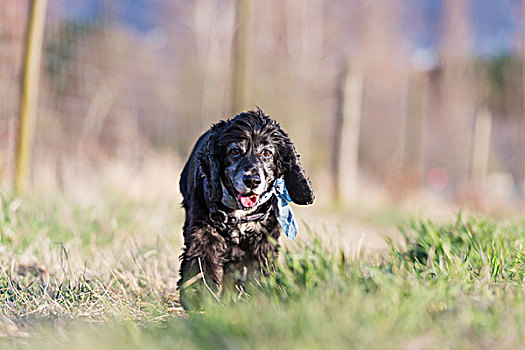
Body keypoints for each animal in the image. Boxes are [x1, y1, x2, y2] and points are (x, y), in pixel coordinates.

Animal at [178, 108, 314, 308]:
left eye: (267, 153)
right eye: (235, 151)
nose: (252, 181)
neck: (239, 212)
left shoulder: (264, 240)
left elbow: (258, 270)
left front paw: (256, 297)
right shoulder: (204, 232)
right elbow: (201, 262)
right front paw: (199, 297)